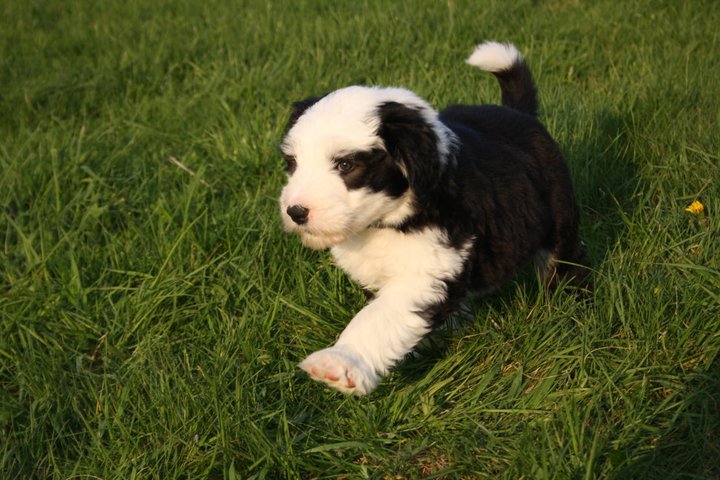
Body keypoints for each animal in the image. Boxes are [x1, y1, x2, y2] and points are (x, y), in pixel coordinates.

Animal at [278, 41, 589, 395]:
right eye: (292, 163)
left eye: (345, 165)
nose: (295, 211)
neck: (386, 221)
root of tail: (519, 113)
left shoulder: (430, 268)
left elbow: (377, 318)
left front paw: (340, 363)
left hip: (559, 216)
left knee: (565, 261)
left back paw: (569, 307)